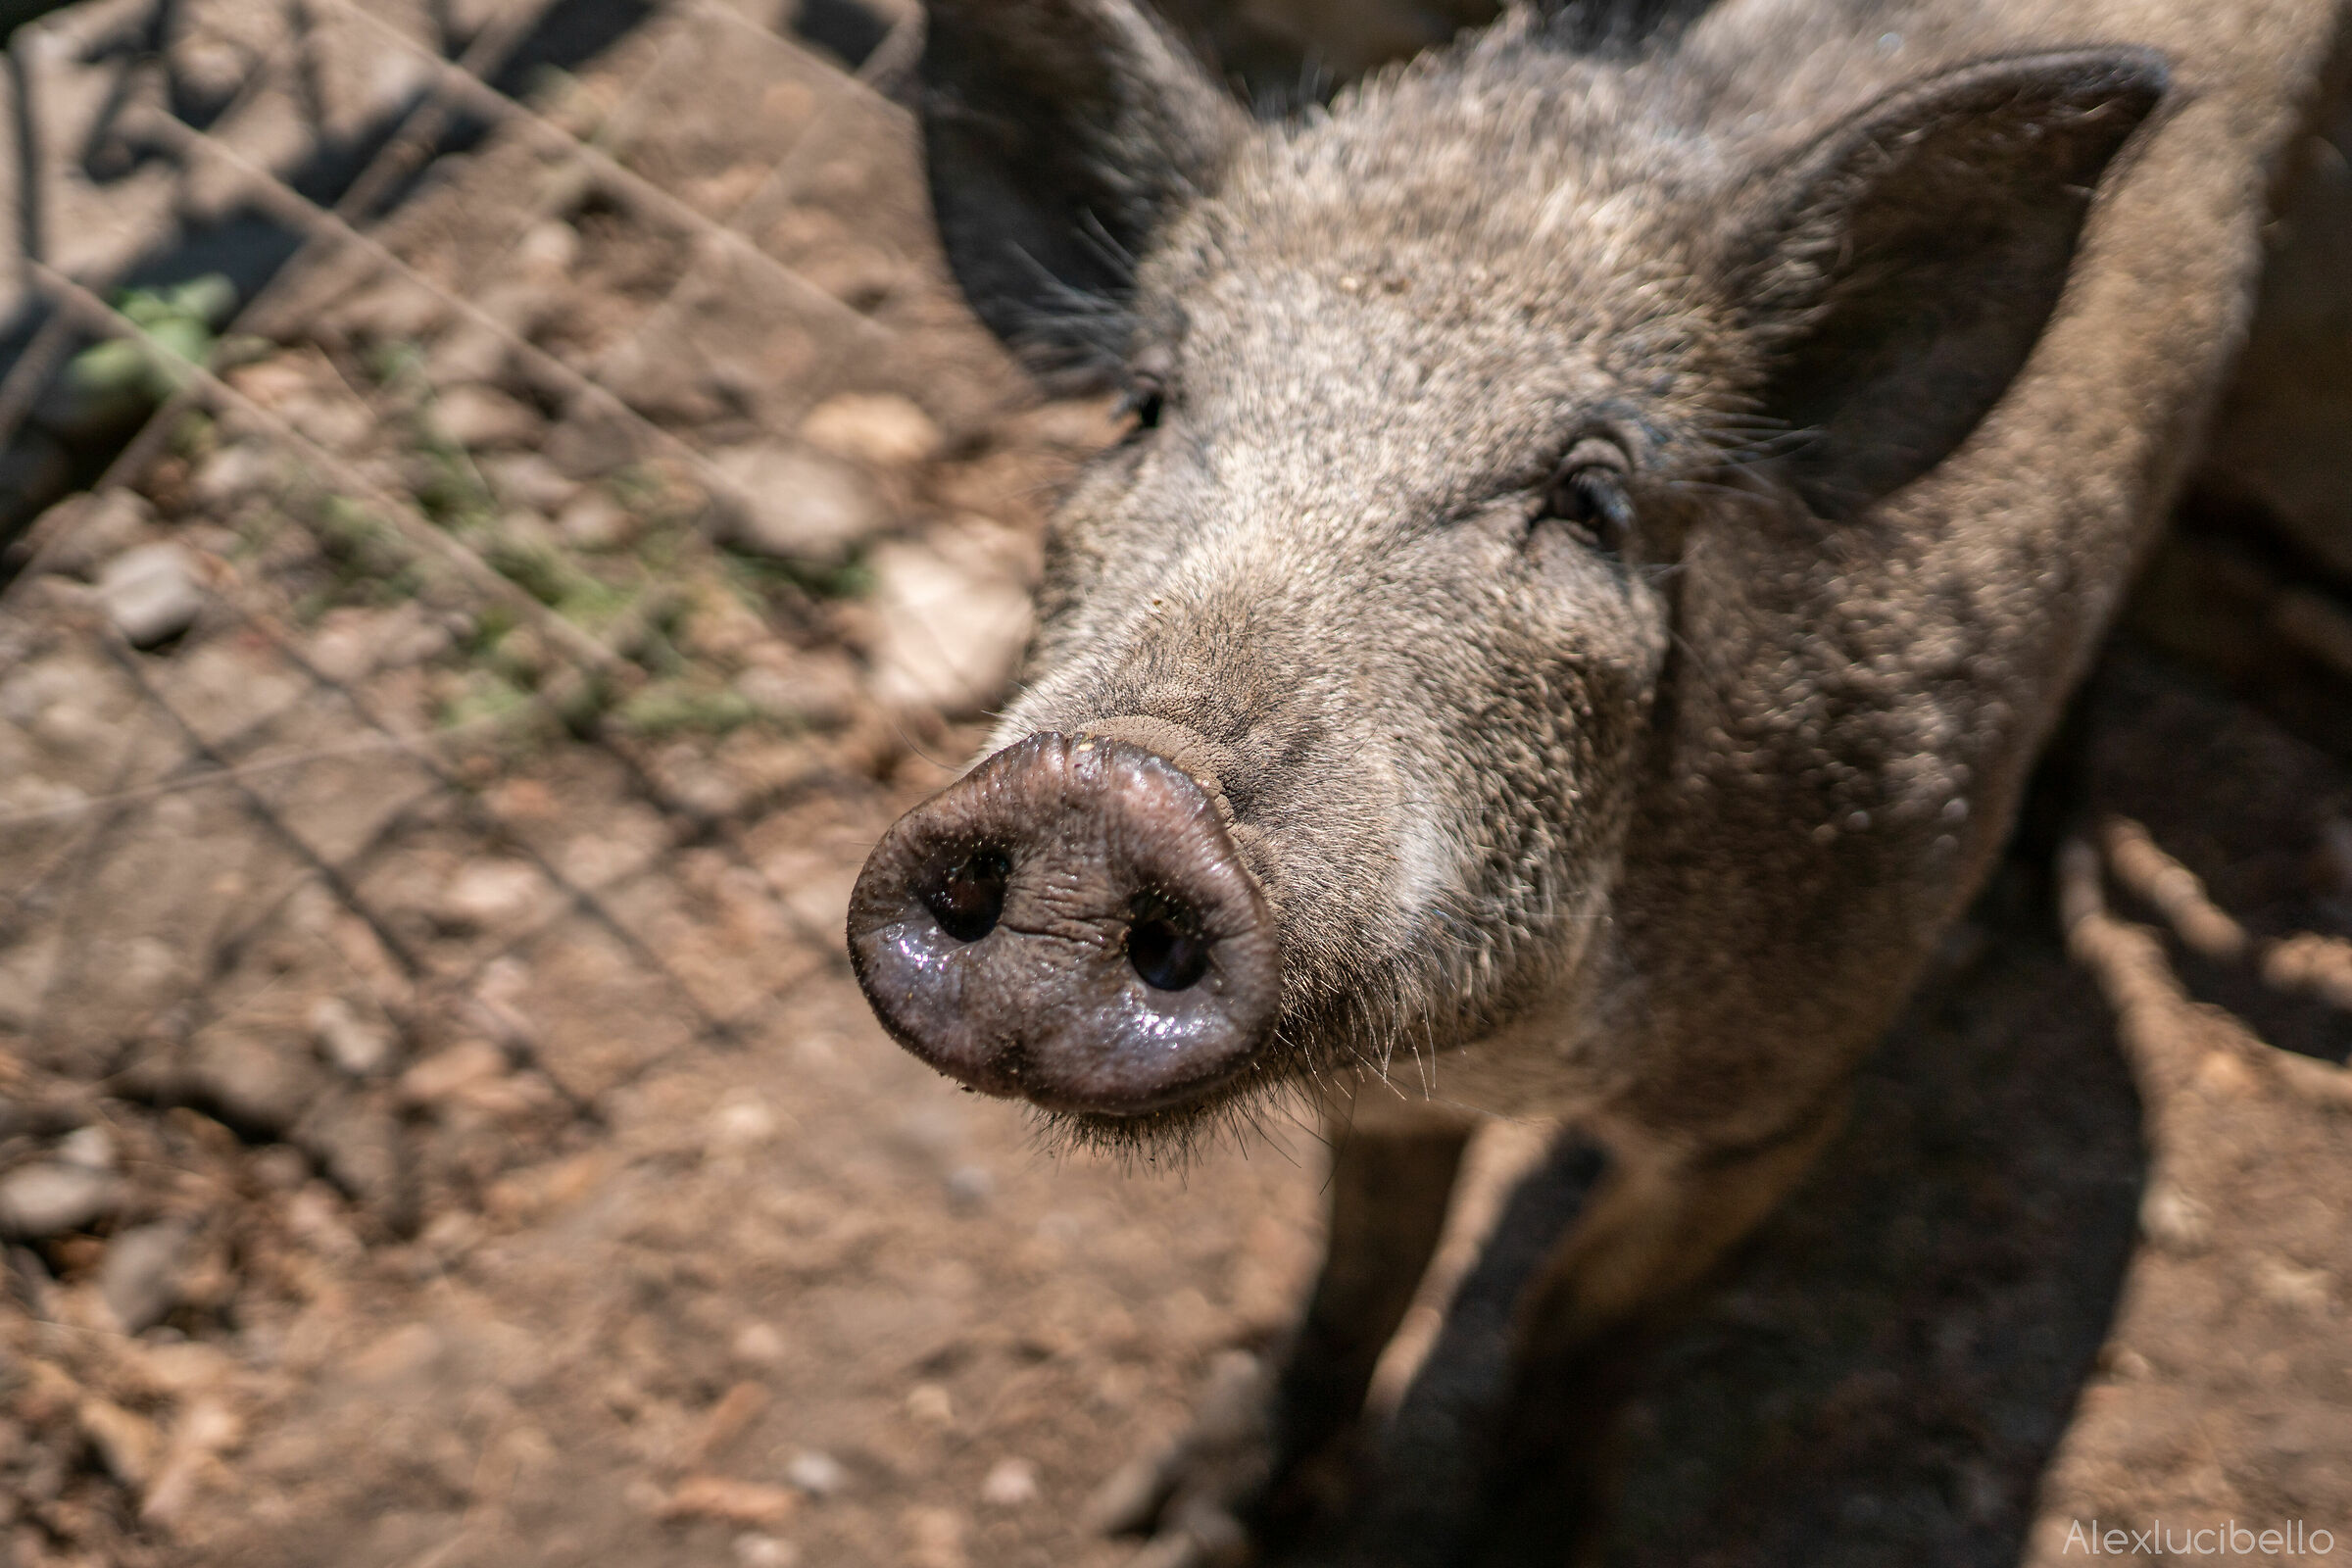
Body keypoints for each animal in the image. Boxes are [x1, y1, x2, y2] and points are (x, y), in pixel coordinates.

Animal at [847, 0, 2351, 1560]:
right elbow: (1359, 1279)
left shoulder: (1777, 1102)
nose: (1099, 791)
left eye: (1589, 497)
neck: (1525, 1054)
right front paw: (1175, 1520)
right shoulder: (1386, 1091)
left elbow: (1577, 1322)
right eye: (1146, 406)